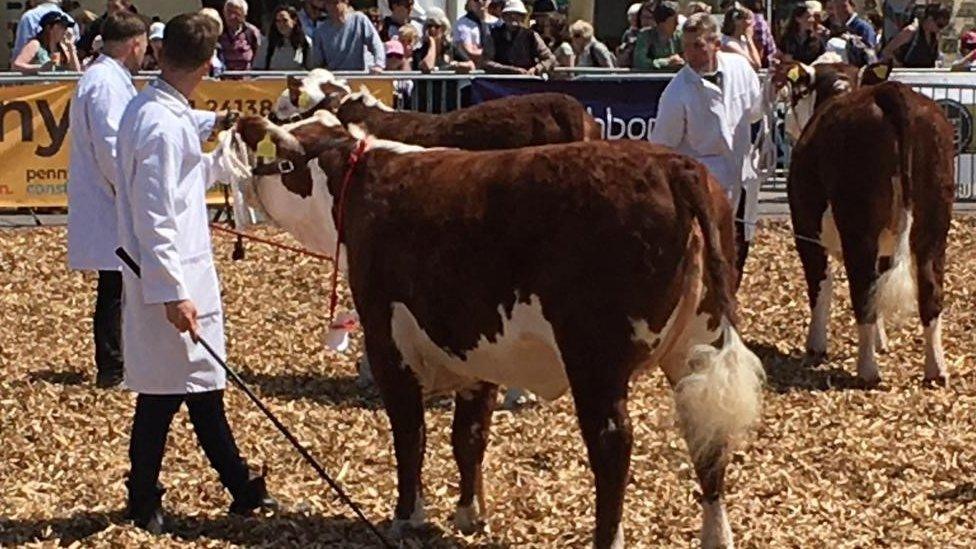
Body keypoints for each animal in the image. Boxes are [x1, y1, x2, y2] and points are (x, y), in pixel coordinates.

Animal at [229, 112, 764, 548]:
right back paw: (717, 536)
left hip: (596, 359)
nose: (245, 130)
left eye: (278, 153)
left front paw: (407, 516)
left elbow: (410, 434)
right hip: (699, 342)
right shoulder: (475, 343)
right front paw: (470, 513)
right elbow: (468, 435)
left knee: (613, 443)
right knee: (707, 436)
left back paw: (607, 538)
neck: (362, 182)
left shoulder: (388, 342)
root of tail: (675, 166)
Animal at [784, 60, 952, 384]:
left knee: (861, 286)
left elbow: (821, 284)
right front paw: (881, 341)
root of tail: (889, 91)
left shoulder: (805, 231)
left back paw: (867, 370)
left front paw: (816, 344)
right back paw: (935, 369)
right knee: (929, 291)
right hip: (934, 227)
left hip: (858, 230)